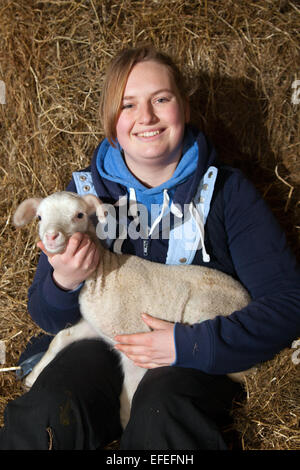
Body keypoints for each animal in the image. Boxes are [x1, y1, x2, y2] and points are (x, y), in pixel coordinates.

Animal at [14, 192, 253, 430]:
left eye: (79, 215)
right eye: (39, 217)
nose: (52, 236)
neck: (104, 276)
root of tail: (247, 298)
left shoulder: (134, 338)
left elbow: (130, 386)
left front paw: (125, 420)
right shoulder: (96, 326)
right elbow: (61, 338)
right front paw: (33, 376)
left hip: (205, 310)